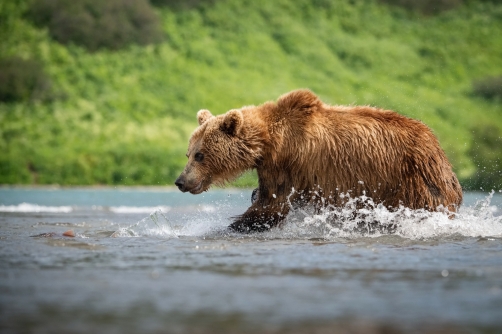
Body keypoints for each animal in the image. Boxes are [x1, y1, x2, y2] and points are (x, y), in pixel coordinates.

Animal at [176, 90, 462, 234]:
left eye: (200, 154)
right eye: (188, 153)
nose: (180, 181)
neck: (269, 142)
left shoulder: (289, 166)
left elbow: (271, 206)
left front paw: (231, 225)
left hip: (412, 180)